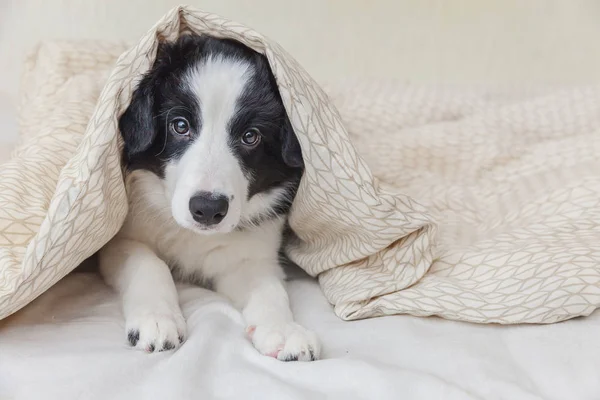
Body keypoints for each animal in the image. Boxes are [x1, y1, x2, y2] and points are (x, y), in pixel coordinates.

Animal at [99, 34, 324, 360]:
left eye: (251, 136)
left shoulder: (249, 255)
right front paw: (157, 319)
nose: (207, 209)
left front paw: (284, 330)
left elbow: (269, 289)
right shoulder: (119, 238)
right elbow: (148, 262)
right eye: (180, 126)